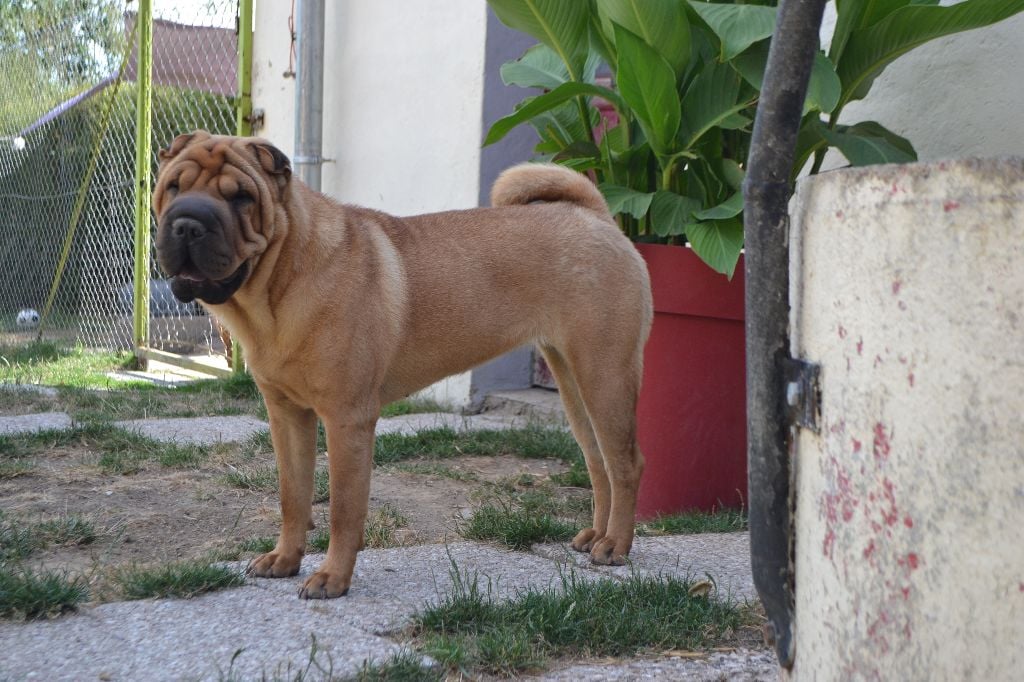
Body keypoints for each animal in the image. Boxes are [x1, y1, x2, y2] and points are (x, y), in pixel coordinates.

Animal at [153, 130, 647, 598]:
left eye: (241, 197)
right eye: (173, 187)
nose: (188, 224)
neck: (280, 283)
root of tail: (596, 216)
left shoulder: (347, 419)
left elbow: (343, 507)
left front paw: (332, 578)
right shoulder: (286, 415)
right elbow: (293, 496)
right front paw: (284, 558)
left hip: (605, 375)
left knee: (626, 463)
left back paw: (614, 546)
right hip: (572, 381)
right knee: (598, 462)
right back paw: (595, 536)